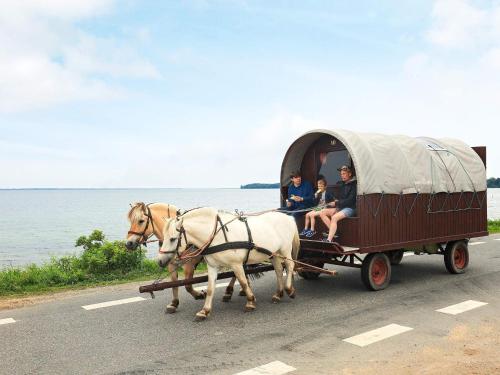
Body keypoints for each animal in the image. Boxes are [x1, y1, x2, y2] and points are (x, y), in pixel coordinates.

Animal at [158, 207, 298, 322]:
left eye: (172, 239)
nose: (160, 261)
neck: (216, 235)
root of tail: (288, 217)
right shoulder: (212, 267)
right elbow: (210, 289)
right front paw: (204, 311)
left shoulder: (236, 264)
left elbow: (243, 282)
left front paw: (250, 301)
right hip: (274, 253)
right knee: (279, 270)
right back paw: (278, 294)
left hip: (285, 250)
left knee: (290, 266)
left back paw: (289, 289)